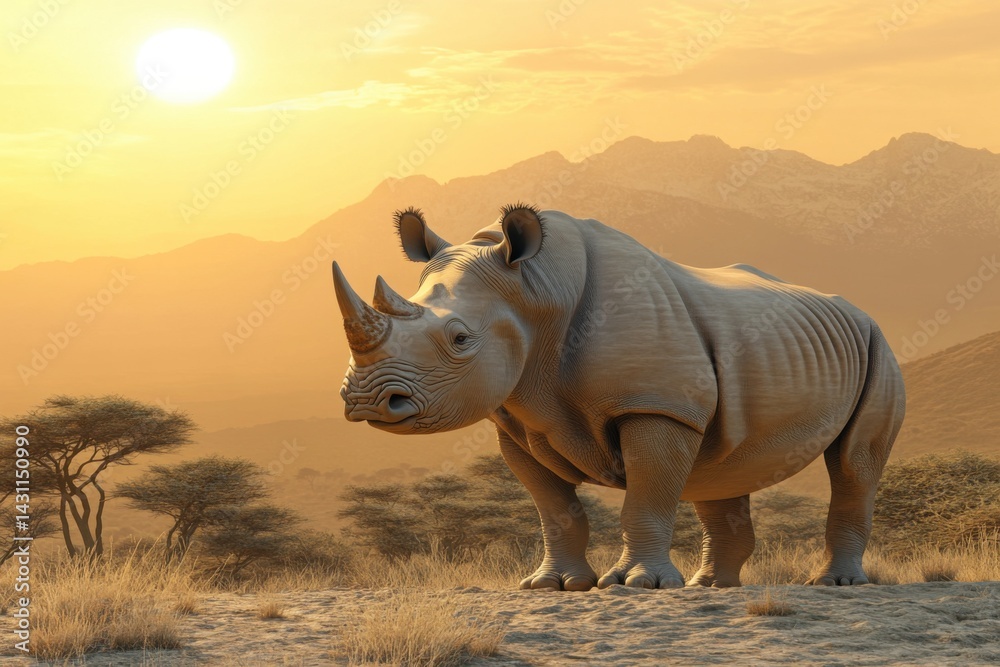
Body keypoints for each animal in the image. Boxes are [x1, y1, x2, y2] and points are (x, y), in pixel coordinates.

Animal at [332, 204, 906, 590]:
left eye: (459, 339)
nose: (366, 402)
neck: (537, 291)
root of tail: (857, 309)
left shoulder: (656, 404)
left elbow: (645, 497)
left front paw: (635, 585)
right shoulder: (517, 420)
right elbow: (554, 509)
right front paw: (553, 586)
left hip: (878, 347)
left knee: (854, 462)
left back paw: (833, 585)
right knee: (721, 465)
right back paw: (709, 588)